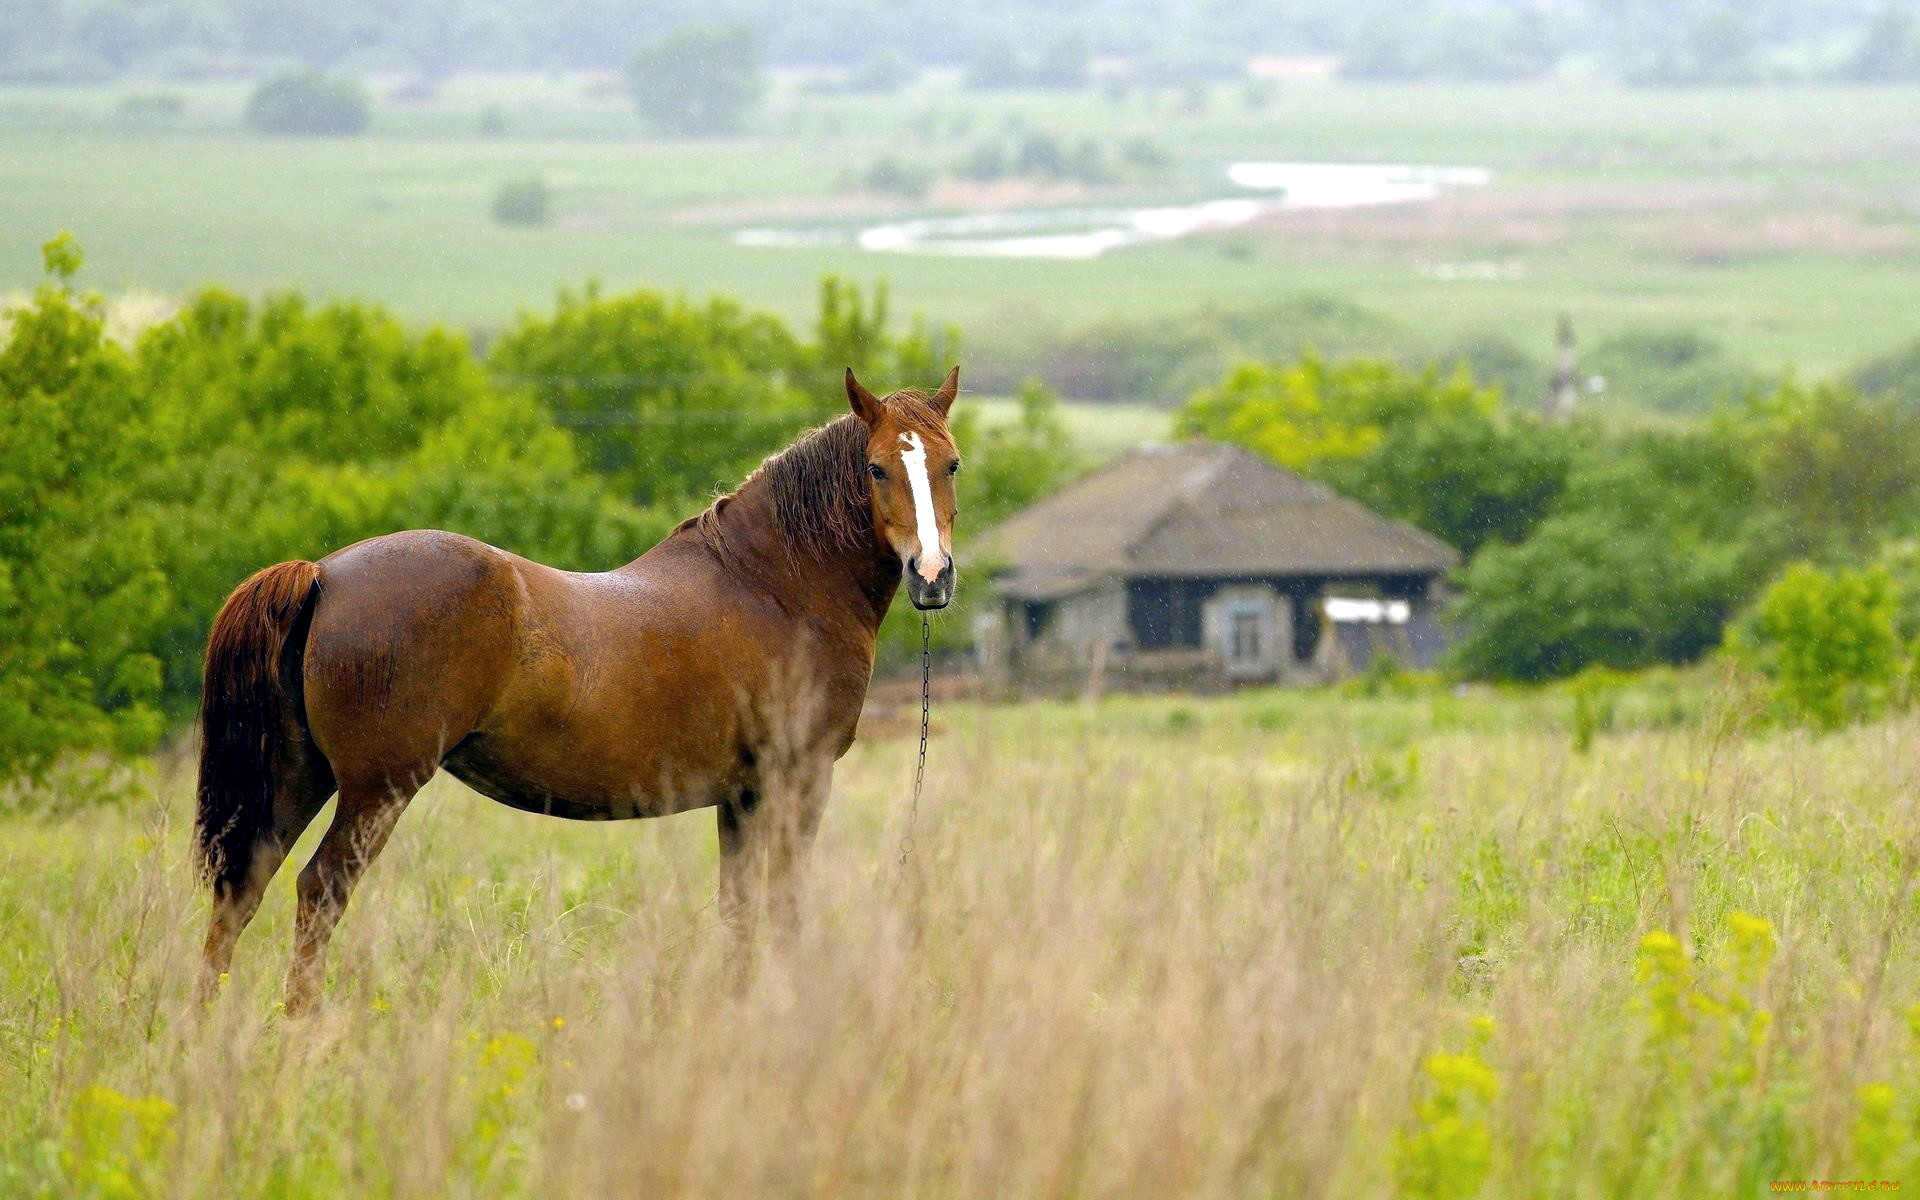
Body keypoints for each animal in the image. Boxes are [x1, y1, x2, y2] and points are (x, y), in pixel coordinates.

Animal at [198, 364, 960, 1013]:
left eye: (950, 463)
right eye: (876, 467)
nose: (931, 575)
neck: (774, 583)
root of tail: (324, 574)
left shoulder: (741, 797)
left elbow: (739, 911)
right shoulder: (797, 779)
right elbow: (783, 906)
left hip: (299, 776)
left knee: (242, 890)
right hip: (375, 789)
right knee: (319, 891)